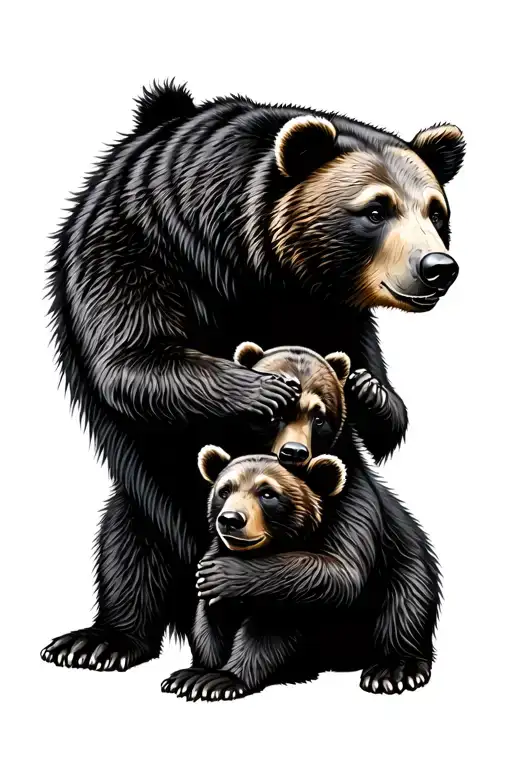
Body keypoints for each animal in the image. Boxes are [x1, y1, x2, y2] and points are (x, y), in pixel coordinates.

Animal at [162, 446, 347, 701]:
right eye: (225, 490)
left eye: (268, 494)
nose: (231, 519)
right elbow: (210, 620)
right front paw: (194, 674)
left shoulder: (293, 590)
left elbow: (268, 633)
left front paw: (221, 680)